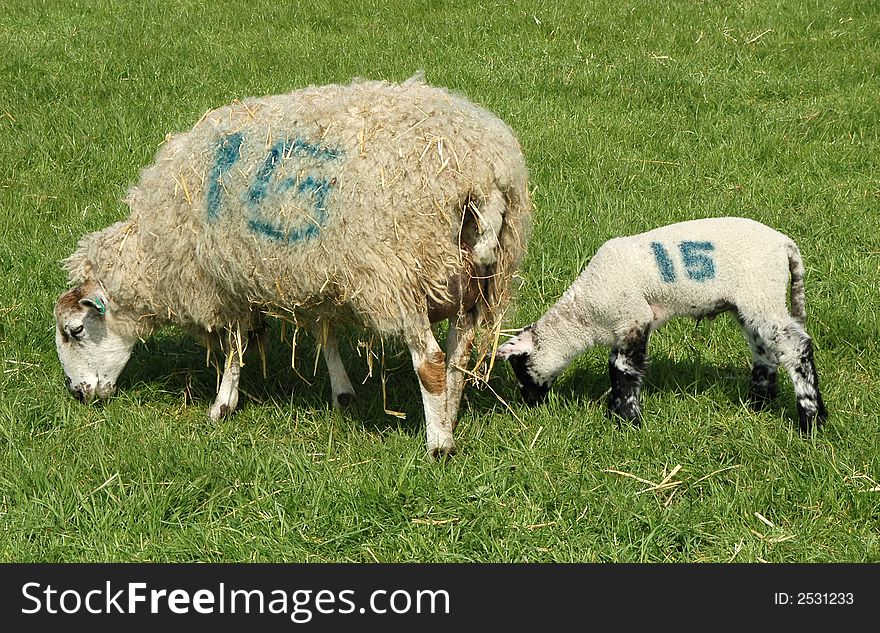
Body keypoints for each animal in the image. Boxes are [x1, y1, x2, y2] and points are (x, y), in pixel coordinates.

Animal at [60, 74, 536, 456]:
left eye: (74, 331)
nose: (79, 395)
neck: (153, 251)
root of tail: (483, 176)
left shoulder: (225, 281)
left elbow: (235, 347)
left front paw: (222, 405)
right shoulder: (311, 274)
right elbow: (324, 334)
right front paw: (342, 393)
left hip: (398, 278)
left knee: (432, 363)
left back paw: (438, 446)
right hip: (473, 282)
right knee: (458, 357)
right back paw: (450, 420)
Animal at [498, 215, 828, 432]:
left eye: (519, 367)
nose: (528, 403)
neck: (584, 314)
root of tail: (785, 245)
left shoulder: (633, 317)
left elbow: (624, 369)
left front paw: (628, 421)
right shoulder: (622, 327)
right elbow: (615, 366)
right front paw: (616, 412)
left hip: (760, 292)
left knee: (796, 348)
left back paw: (811, 420)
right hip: (750, 304)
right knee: (766, 351)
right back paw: (758, 404)